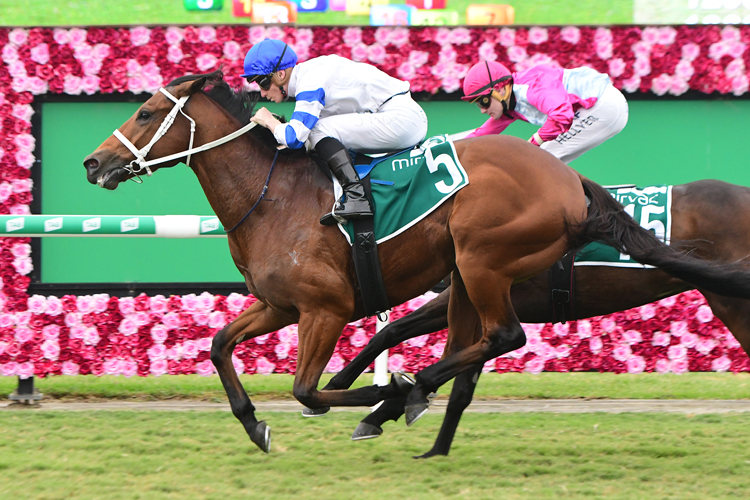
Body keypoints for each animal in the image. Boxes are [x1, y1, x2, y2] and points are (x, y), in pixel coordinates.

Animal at [82, 72, 750, 456]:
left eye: (146, 112)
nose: (93, 164)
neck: (273, 196)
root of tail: (569, 186)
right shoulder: (280, 303)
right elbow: (220, 345)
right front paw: (256, 425)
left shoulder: (325, 308)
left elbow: (310, 389)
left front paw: (384, 394)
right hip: (471, 276)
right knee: (479, 345)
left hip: (482, 262)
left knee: (502, 336)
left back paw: (409, 390)